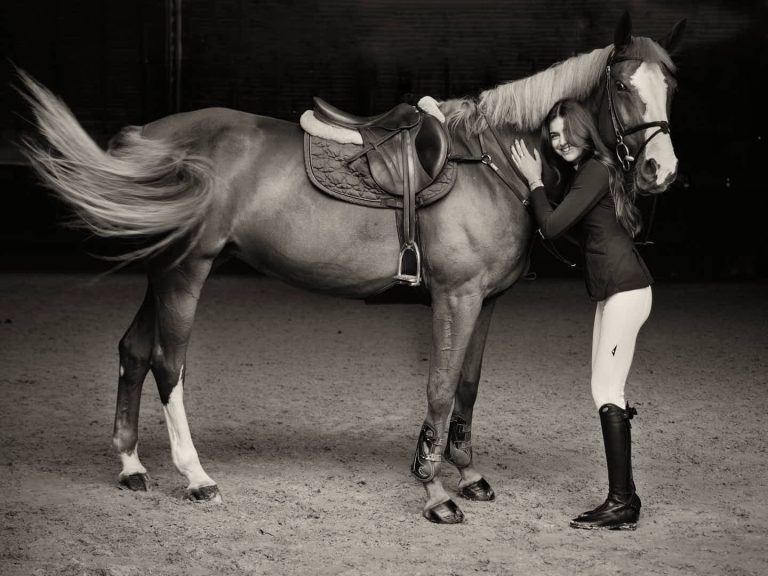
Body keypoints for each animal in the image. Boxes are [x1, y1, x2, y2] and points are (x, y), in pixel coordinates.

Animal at [18, 13, 685, 524]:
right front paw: (435, 492)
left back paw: (132, 466)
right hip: (187, 270)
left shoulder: (487, 300)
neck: (494, 162)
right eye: (622, 85)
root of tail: (148, 136)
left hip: (162, 270)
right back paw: (196, 476)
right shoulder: (457, 297)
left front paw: (467, 475)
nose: (662, 170)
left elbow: (467, 387)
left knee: (133, 350)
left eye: (670, 86)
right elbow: (440, 385)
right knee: (166, 363)